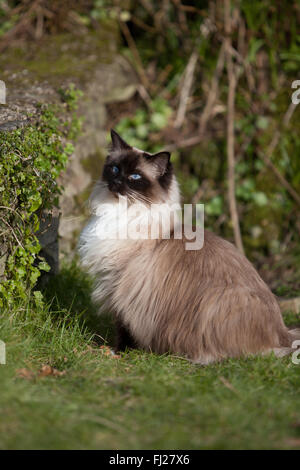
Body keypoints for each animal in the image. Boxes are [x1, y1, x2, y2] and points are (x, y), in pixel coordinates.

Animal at [78, 130, 298, 366]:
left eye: (135, 177)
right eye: (115, 169)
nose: (117, 181)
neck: (124, 213)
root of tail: (282, 334)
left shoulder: (119, 289)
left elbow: (124, 330)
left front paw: (118, 352)